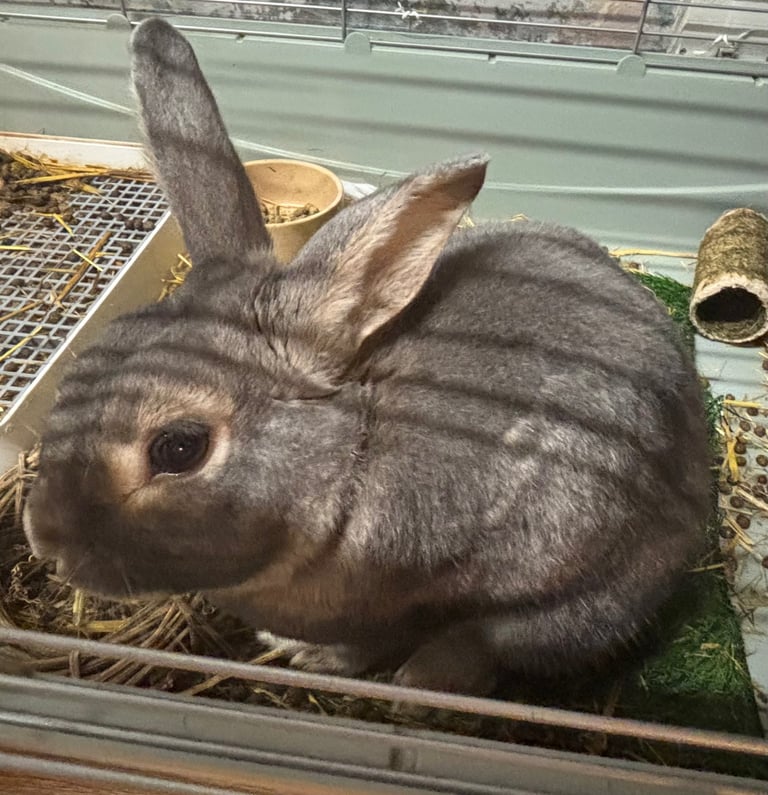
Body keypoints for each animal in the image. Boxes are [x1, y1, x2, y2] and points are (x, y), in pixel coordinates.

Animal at [22, 17, 712, 697]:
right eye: (78, 372)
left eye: (180, 448)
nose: (45, 541)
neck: (354, 449)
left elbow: (444, 639)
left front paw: (362, 667)